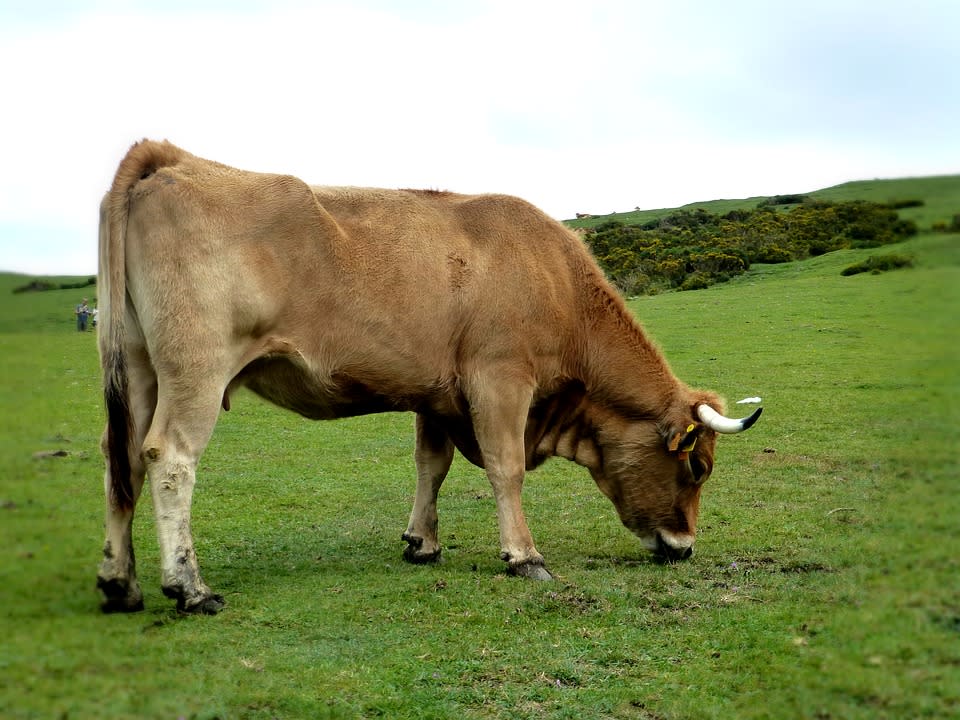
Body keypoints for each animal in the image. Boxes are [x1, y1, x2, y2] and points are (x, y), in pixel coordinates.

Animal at [95, 139, 756, 612]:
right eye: (698, 467)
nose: (685, 549)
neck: (556, 281)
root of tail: (172, 157)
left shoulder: (436, 397)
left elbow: (429, 466)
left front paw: (423, 542)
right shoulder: (499, 380)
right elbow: (505, 468)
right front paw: (524, 556)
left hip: (139, 368)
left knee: (122, 459)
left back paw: (119, 582)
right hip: (197, 370)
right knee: (169, 458)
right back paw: (189, 587)